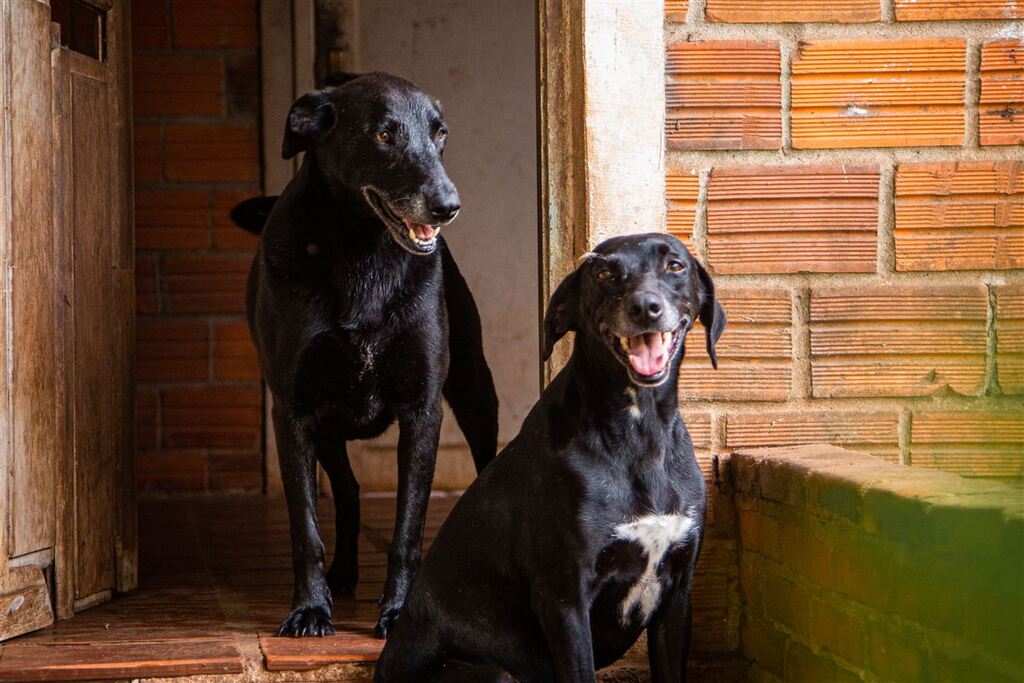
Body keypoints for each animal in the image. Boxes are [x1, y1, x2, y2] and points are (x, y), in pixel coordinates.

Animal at [236, 72, 499, 638]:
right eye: (383, 135)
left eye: (440, 133)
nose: (448, 205)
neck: (363, 251)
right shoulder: (293, 413)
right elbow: (306, 528)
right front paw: (310, 608)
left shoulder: (423, 412)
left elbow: (407, 528)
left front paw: (398, 612)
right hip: (327, 429)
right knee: (349, 490)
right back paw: (342, 573)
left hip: (475, 391)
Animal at [374, 232, 720, 679]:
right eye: (604, 273)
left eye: (674, 265)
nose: (645, 307)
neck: (640, 434)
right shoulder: (564, 599)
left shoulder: (677, 597)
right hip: (496, 671)